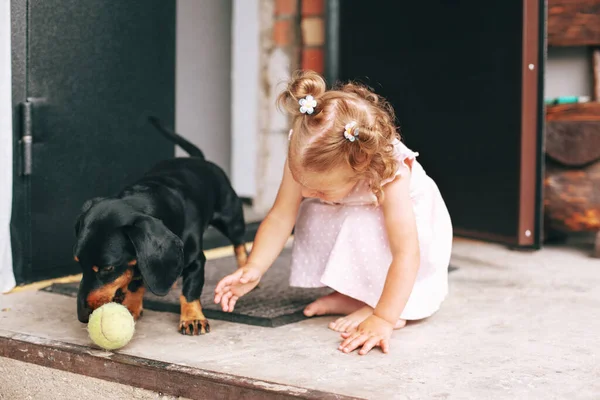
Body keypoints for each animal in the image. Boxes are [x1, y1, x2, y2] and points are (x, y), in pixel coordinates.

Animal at [74, 118, 248, 334]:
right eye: (78, 262)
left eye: (108, 268)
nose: (82, 317)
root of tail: (197, 159)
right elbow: (135, 281)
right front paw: (131, 306)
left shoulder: (196, 261)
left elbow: (190, 291)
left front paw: (192, 318)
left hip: (231, 217)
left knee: (239, 244)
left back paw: (244, 272)